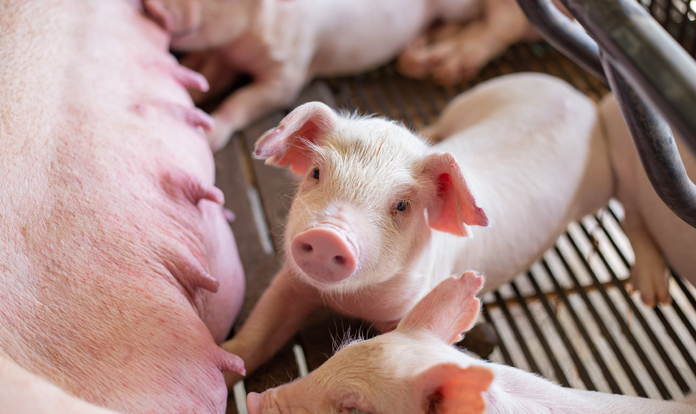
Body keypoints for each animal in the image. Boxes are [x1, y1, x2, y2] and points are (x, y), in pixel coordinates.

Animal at [142, 0, 566, 151]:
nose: (150, 6)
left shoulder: (288, 72)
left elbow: (243, 100)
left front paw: (210, 138)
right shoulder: (228, 56)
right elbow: (211, 77)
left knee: (504, 22)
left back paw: (447, 66)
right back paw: (417, 58)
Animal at [220, 73, 613, 385]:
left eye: (402, 205)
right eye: (316, 172)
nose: (327, 235)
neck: (353, 301)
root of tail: (577, 98)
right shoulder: (292, 282)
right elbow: (258, 331)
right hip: (472, 99)